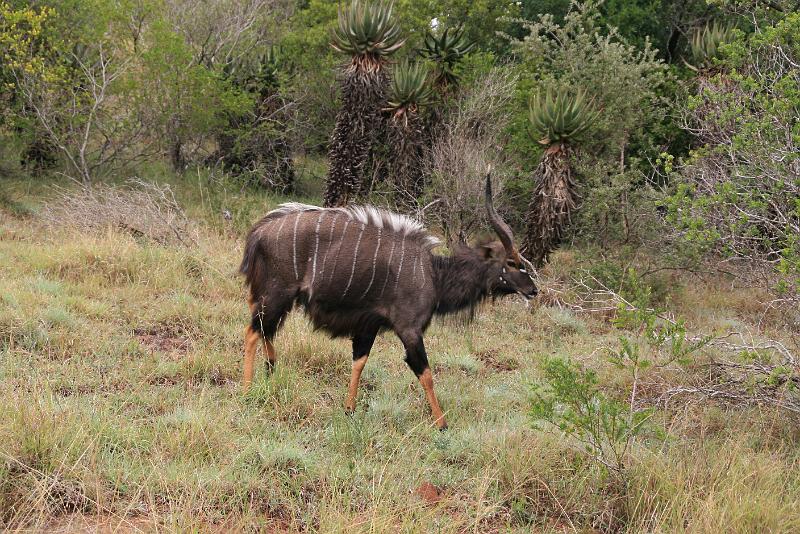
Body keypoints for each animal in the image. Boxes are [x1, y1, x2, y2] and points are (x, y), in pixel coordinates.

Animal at [238, 176, 536, 432]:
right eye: (512, 263)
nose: (533, 290)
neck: (434, 274)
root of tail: (258, 233)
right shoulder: (409, 329)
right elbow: (426, 373)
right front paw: (441, 423)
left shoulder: (368, 325)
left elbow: (359, 362)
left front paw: (349, 409)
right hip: (277, 294)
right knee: (252, 331)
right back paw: (248, 390)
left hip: (278, 299)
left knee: (266, 330)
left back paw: (272, 371)